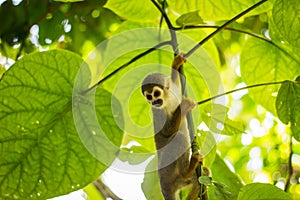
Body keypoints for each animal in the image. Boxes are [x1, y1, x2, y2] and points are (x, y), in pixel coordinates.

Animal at [141, 54, 202, 199]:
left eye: (156, 94)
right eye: (149, 97)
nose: (154, 102)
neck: (167, 98)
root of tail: (163, 182)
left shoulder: (173, 90)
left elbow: (176, 83)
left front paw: (176, 64)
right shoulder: (157, 111)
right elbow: (166, 132)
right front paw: (184, 106)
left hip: (178, 181)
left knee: (202, 177)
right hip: (168, 167)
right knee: (178, 137)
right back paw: (188, 170)